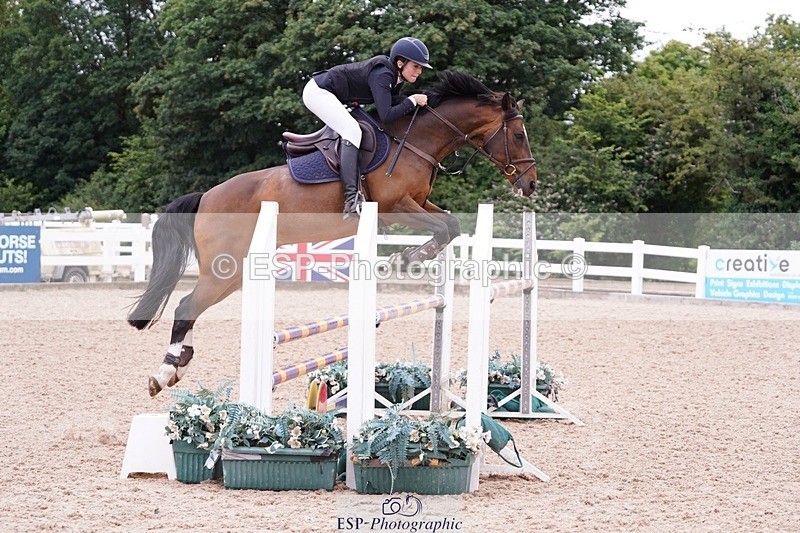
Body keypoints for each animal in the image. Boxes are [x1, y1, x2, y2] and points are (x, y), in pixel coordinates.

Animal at [127, 71, 538, 397]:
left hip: (235, 271)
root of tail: (207, 197)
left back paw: (177, 366)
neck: (415, 141)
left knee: (190, 307)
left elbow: (451, 225)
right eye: (518, 135)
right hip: (224, 269)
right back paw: (164, 373)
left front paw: (403, 258)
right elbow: (442, 227)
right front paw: (403, 259)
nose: (531, 185)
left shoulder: (419, 203)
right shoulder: (394, 206)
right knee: (185, 306)